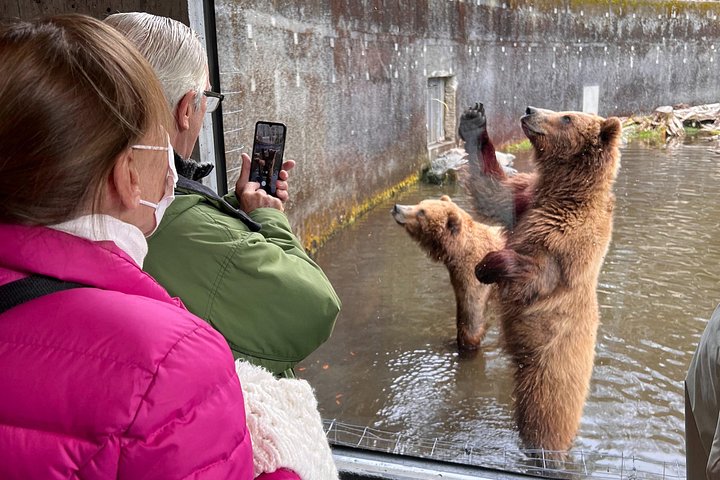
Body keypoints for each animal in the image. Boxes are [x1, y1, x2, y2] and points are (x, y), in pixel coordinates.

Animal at [391, 195, 505, 351]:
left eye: (422, 212)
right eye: (420, 203)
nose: (396, 207)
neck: (459, 250)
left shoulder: (477, 274)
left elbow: (472, 312)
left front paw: (466, 343)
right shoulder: (458, 276)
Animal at [465, 105, 622, 459]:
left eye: (567, 117)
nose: (530, 109)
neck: (563, 190)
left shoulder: (569, 241)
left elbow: (536, 274)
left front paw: (487, 264)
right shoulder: (525, 198)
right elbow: (492, 188)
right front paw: (473, 121)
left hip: (552, 371)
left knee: (545, 415)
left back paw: (545, 452)